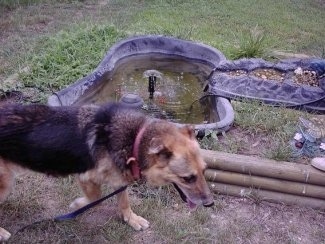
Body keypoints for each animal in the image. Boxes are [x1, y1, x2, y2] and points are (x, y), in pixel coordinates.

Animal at [0, 102, 214, 241]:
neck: (134, 140)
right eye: (188, 178)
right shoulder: (87, 177)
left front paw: (130, 219)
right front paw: (78, 204)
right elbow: (95, 197)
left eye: (204, 171)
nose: (210, 204)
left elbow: (124, 202)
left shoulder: (120, 178)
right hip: (5, 183)